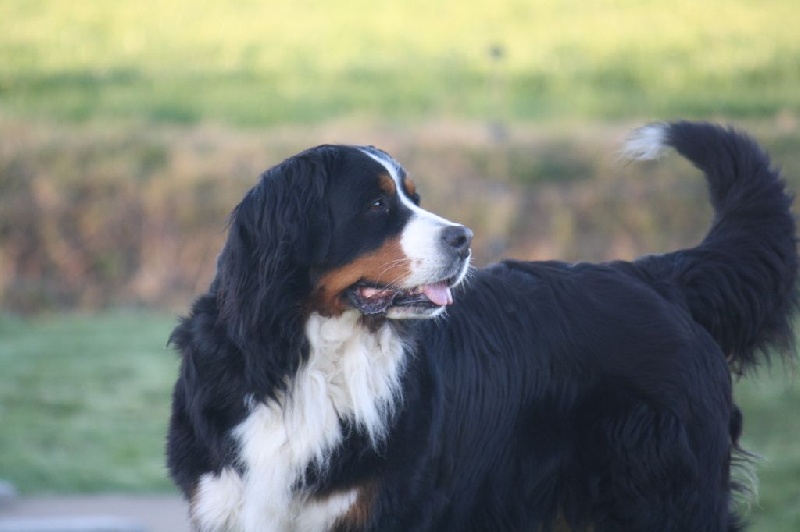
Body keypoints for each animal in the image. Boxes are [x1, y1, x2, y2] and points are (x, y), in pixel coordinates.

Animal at [166, 122, 796, 528]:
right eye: (376, 206)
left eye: (413, 197)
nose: (463, 238)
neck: (310, 360)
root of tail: (656, 275)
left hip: (664, 497)